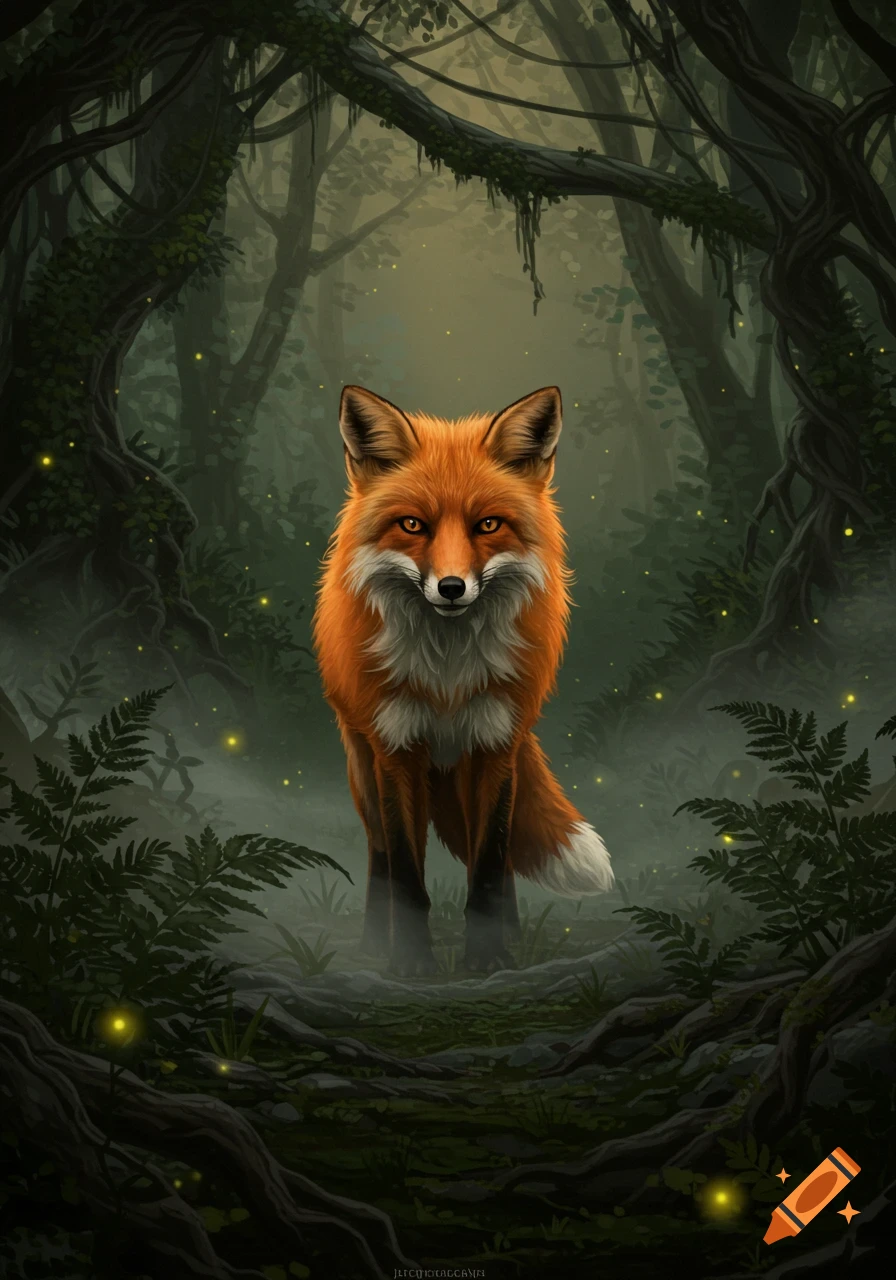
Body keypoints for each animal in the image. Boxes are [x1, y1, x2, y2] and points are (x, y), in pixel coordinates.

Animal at [313, 384, 614, 976]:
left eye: (488, 525)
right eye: (412, 525)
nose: (451, 587)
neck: (447, 677)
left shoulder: (494, 744)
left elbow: (489, 869)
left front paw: (491, 959)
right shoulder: (396, 749)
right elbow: (407, 876)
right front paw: (410, 964)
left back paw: (514, 936)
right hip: (362, 767)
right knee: (379, 855)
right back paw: (373, 944)